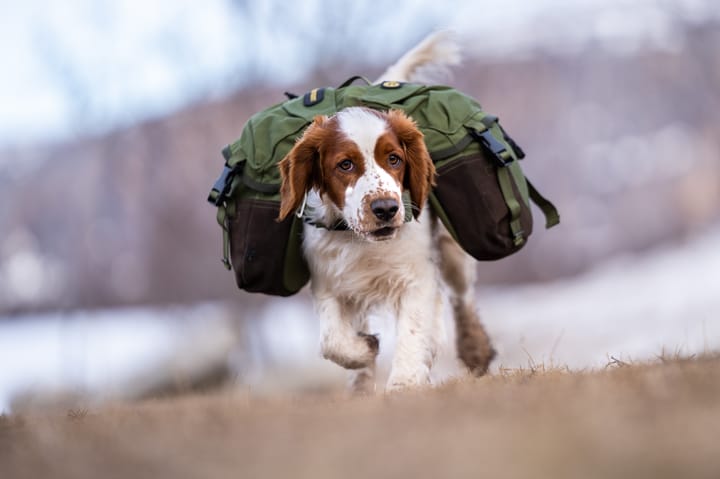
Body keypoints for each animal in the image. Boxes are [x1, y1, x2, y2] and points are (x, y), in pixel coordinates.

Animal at [278, 31, 496, 394]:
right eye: (345, 164)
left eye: (394, 158)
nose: (385, 208)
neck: (362, 241)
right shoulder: (330, 282)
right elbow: (332, 341)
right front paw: (365, 351)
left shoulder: (418, 275)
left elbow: (414, 330)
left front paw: (405, 383)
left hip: (452, 250)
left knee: (461, 295)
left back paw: (474, 350)